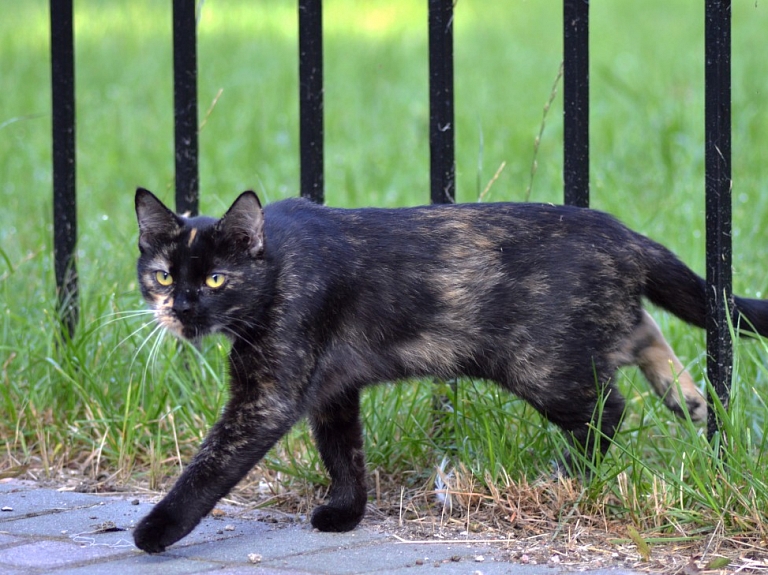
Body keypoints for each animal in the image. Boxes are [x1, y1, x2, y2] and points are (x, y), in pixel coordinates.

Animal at [130, 188, 768, 552]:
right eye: (163, 275)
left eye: (217, 279)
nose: (180, 308)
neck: (279, 263)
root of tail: (627, 235)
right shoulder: (334, 388)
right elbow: (343, 452)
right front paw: (346, 512)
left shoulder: (269, 394)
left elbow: (211, 465)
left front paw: (156, 530)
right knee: (642, 329)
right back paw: (687, 397)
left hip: (543, 367)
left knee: (609, 406)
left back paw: (569, 473)